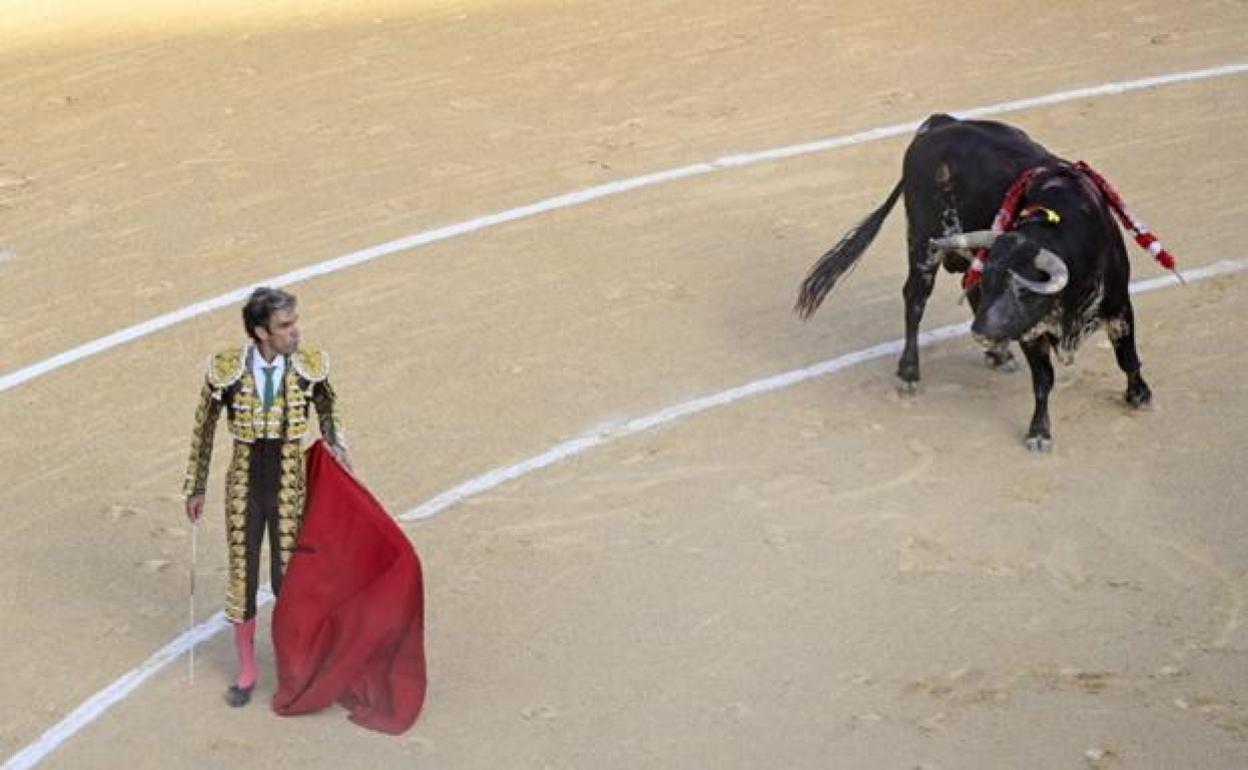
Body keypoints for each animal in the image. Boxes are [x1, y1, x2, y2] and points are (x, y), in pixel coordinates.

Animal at [793, 114, 1163, 449]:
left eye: (1025, 290)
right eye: (996, 283)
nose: (982, 332)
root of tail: (938, 123)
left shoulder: (1119, 305)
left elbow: (1128, 358)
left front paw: (1140, 395)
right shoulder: (1029, 330)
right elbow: (1044, 379)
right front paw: (1039, 433)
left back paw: (998, 355)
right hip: (922, 245)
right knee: (915, 301)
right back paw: (910, 372)